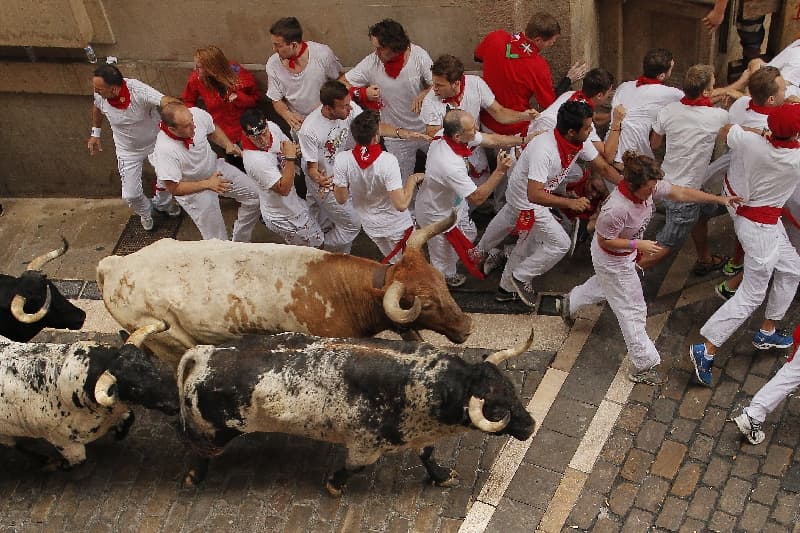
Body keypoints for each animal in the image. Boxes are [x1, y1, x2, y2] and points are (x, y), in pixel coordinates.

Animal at [0, 320, 178, 466]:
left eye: (152, 367)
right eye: (135, 388)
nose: (174, 404)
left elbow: (129, 418)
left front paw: (118, 433)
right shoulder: (67, 446)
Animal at [98, 210, 476, 368]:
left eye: (442, 283)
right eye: (425, 304)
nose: (467, 326)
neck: (340, 292)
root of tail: (113, 266)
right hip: (171, 341)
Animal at [178, 328, 536, 494]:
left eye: (513, 392)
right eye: (496, 408)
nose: (530, 426)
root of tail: (204, 354)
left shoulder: (419, 434)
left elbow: (427, 454)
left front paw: (441, 476)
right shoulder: (365, 446)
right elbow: (353, 468)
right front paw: (334, 485)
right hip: (213, 433)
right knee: (199, 450)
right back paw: (194, 476)